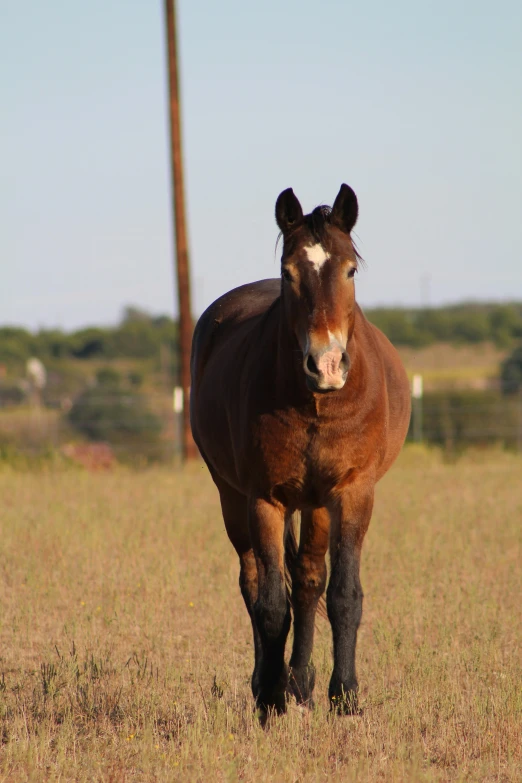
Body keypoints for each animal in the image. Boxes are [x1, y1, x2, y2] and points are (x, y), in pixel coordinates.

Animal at [190, 185, 410, 724]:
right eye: (289, 272)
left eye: (350, 270)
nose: (325, 364)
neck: (315, 401)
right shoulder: (263, 498)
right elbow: (271, 603)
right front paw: (270, 702)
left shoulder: (351, 492)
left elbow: (343, 594)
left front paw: (344, 696)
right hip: (232, 498)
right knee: (253, 582)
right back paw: (268, 682)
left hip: (315, 504)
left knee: (309, 580)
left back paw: (303, 682)